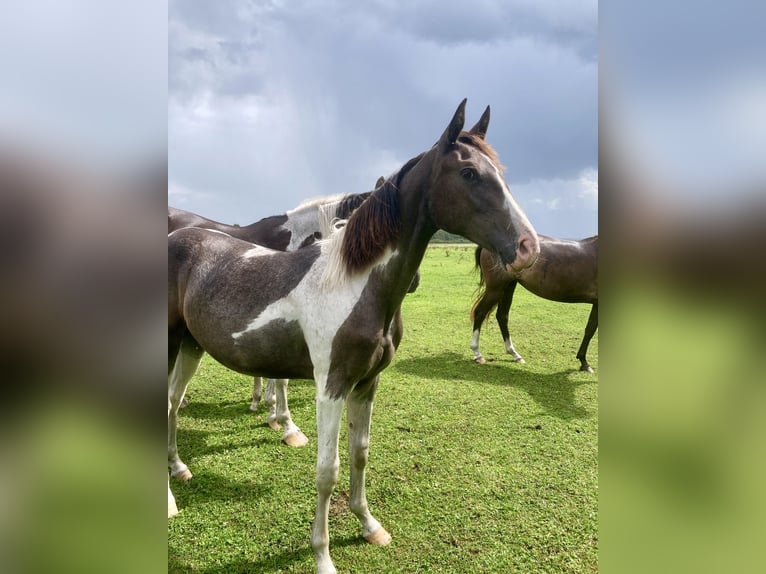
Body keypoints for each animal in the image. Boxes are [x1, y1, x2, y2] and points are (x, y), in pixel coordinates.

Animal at [168, 100, 540, 574]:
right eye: (469, 173)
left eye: (502, 172)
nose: (529, 248)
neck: (354, 283)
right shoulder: (332, 386)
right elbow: (327, 470)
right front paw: (323, 556)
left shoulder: (367, 384)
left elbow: (360, 453)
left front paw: (370, 526)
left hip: (190, 345)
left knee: (171, 404)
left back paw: (178, 469)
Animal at [468, 235, 600, 374]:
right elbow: (591, 331)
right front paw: (584, 363)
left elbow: (590, 329)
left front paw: (584, 363)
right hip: (495, 288)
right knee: (480, 312)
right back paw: (477, 354)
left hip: (508, 286)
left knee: (502, 316)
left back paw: (514, 354)